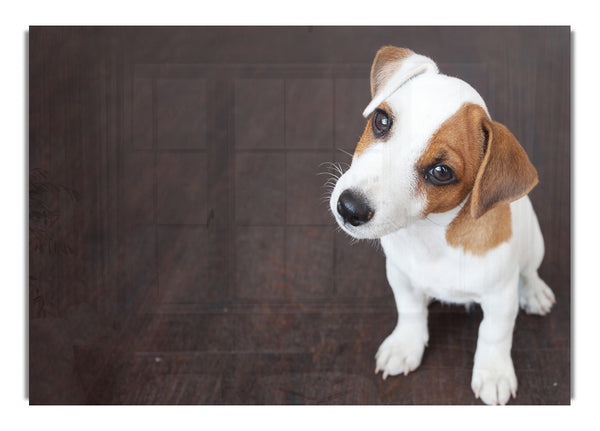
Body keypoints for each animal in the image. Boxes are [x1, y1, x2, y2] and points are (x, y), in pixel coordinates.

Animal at [328, 46, 556, 404]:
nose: (349, 207)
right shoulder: (400, 275)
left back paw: (534, 291)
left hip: (535, 244)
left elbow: (494, 334)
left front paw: (493, 373)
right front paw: (405, 344)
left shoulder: (500, 298)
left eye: (441, 172)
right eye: (381, 120)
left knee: (529, 270)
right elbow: (409, 310)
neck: (431, 236)